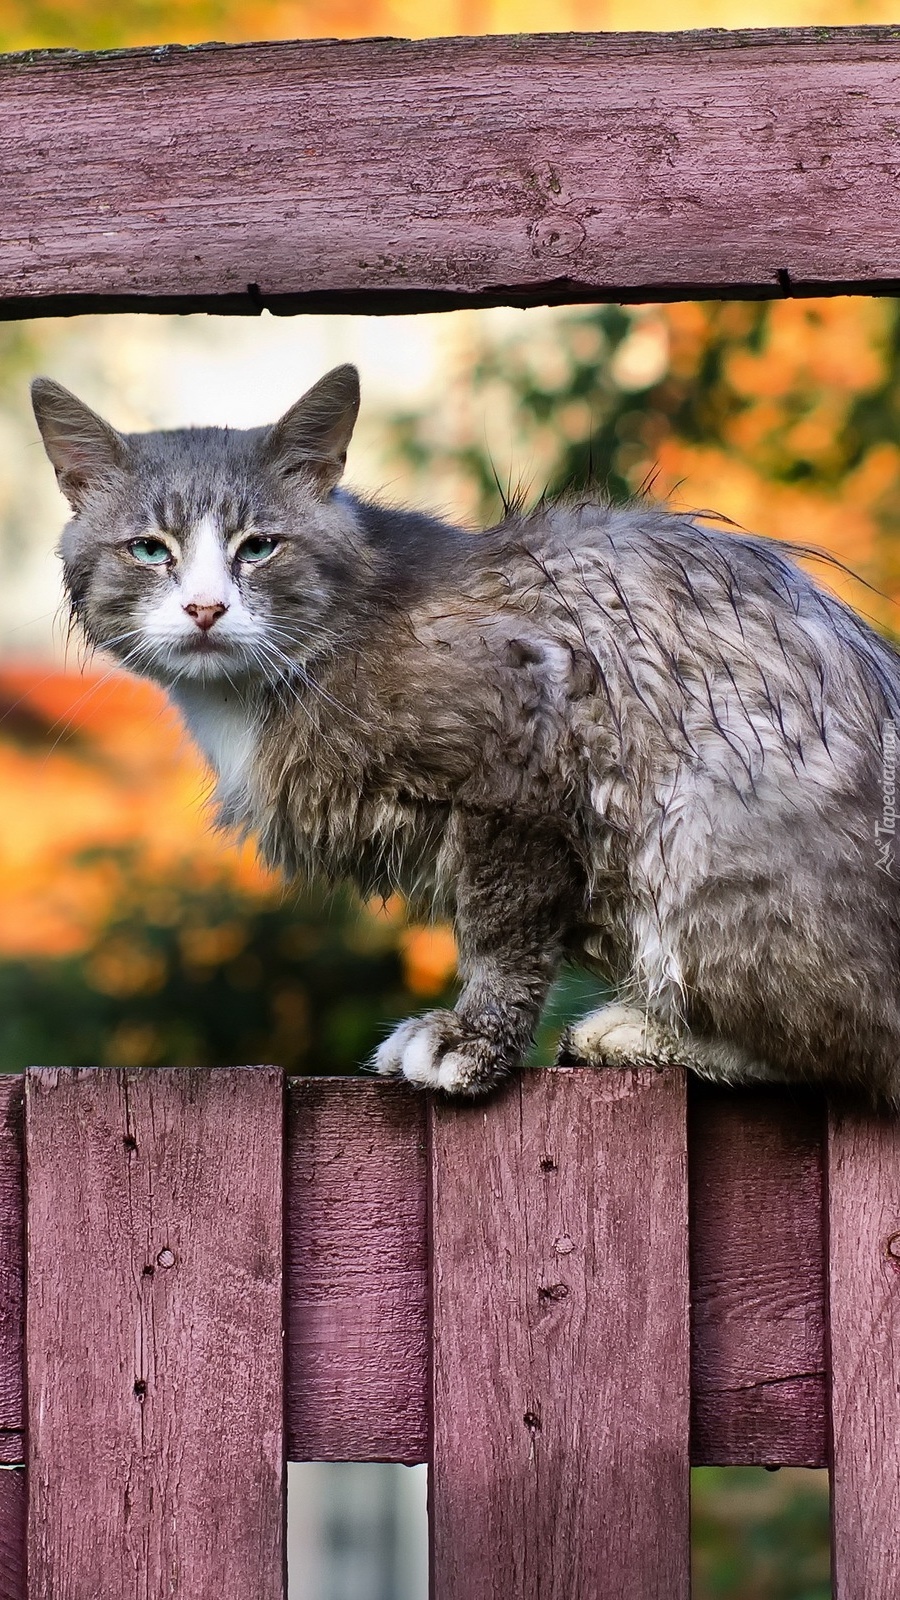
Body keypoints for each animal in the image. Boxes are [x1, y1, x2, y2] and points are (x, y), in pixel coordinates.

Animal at [29, 369, 900, 1107]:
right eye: (149, 550)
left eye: (260, 547)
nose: (205, 609)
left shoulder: (523, 759)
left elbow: (501, 930)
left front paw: (474, 1041)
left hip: (700, 833)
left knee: (850, 1048)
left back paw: (648, 1032)